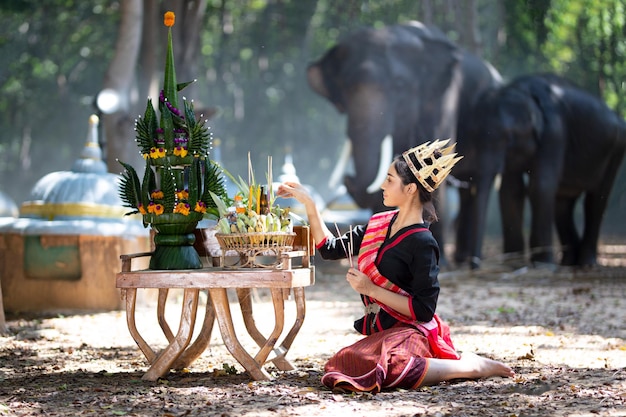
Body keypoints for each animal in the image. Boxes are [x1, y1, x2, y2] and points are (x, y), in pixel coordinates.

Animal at [304, 21, 500, 262]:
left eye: (399, 85)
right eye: (345, 88)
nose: (349, 179)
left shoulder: (443, 100)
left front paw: (441, 258)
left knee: (481, 182)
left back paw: (470, 261)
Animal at [454, 72, 624, 268]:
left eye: (509, 138)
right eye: (474, 136)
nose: (474, 264)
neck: (524, 91)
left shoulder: (555, 133)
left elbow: (540, 187)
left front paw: (541, 264)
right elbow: (510, 192)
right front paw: (513, 263)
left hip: (617, 148)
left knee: (596, 200)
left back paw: (585, 263)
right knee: (562, 204)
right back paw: (567, 263)